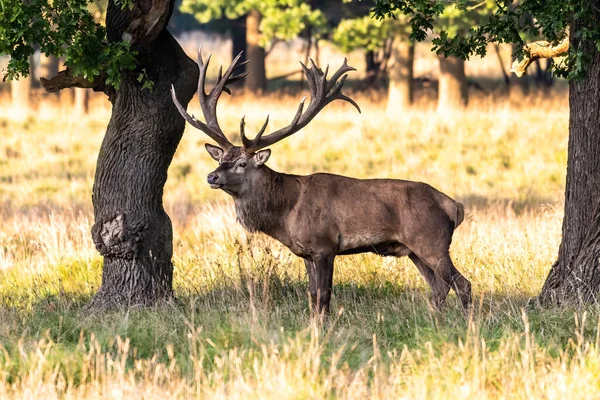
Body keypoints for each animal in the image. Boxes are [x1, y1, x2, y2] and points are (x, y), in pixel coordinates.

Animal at [171, 50, 472, 314]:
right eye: (221, 159)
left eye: (242, 164)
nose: (212, 176)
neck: (286, 214)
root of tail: (455, 207)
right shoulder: (306, 252)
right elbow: (313, 294)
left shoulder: (325, 244)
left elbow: (324, 295)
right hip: (414, 251)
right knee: (439, 288)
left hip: (431, 241)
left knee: (462, 284)